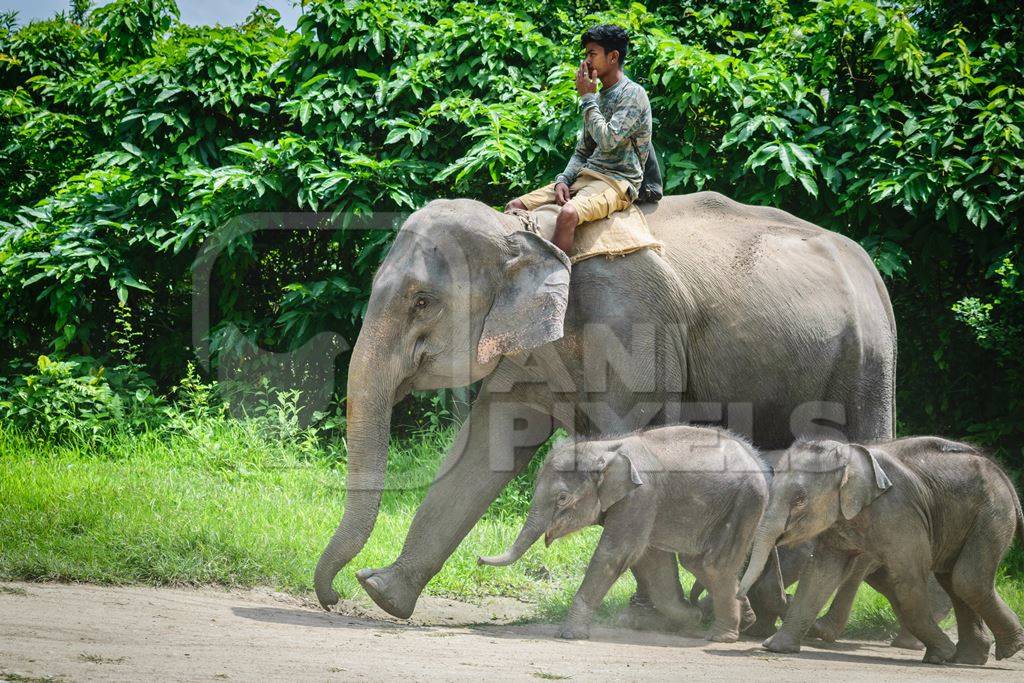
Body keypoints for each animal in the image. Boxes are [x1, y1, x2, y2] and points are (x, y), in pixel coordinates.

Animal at [311, 189, 897, 618]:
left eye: (422, 302)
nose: (336, 595)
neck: (526, 231)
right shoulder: (527, 350)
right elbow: (484, 451)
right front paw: (385, 595)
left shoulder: (634, 330)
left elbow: (632, 445)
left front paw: (664, 616)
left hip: (868, 360)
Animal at [477, 423, 770, 643]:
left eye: (562, 498)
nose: (479, 559)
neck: (605, 447)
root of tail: (758, 460)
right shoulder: (643, 504)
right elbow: (651, 561)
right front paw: (691, 616)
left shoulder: (641, 496)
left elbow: (616, 553)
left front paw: (570, 634)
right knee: (700, 564)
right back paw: (743, 618)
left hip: (743, 504)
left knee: (708, 565)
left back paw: (721, 636)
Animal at [741, 436, 1019, 663]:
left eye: (799, 500)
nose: (784, 597)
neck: (848, 454)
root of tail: (1004, 476)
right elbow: (819, 574)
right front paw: (775, 647)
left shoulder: (899, 513)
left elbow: (907, 581)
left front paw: (941, 654)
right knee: (954, 580)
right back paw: (971, 658)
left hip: (993, 513)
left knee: (966, 580)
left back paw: (1003, 650)